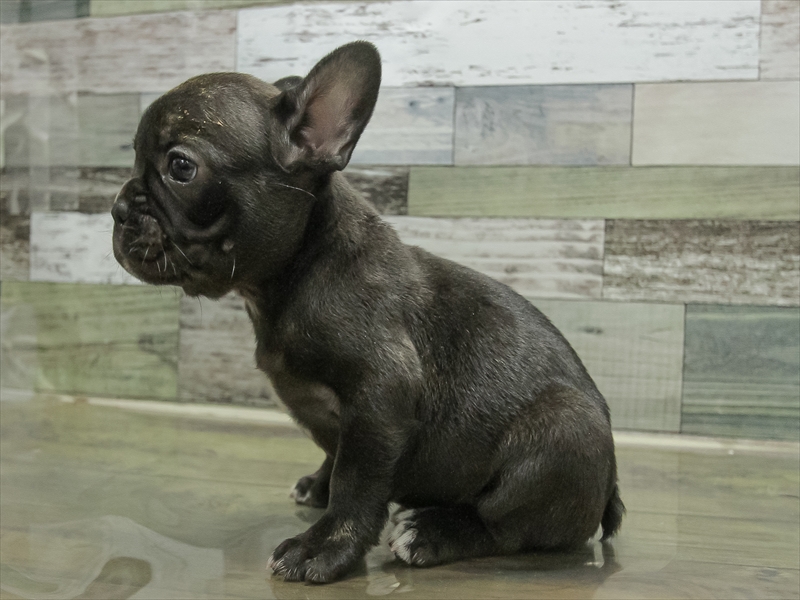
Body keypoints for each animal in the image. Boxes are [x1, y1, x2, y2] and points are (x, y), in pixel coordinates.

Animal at [112, 41, 624, 584]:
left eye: (181, 167)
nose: (118, 208)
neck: (297, 270)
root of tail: (610, 491)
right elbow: (336, 455)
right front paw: (319, 485)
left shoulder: (380, 394)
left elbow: (357, 482)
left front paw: (323, 548)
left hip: (562, 432)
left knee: (505, 526)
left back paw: (433, 530)